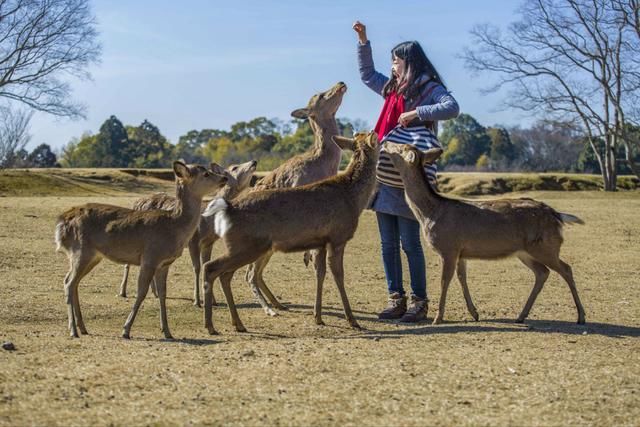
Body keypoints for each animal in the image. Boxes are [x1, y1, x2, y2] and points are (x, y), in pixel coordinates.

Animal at [55, 162, 228, 339]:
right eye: (206, 174)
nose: (224, 178)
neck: (174, 228)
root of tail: (61, 223)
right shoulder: (150, 257)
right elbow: (141, 292)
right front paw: (126, 330)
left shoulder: (164, 263)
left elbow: (163, 293)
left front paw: (167, 331)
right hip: (81, 250)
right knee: (68, 282)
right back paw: (73, 330)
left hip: (92, 256)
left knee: (73, 281)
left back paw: (83, 327)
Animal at [117, 160, 257, 306]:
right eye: (235, 167)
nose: (254, 161)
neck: (208, 223)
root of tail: (136, 203)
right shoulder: (193, 240)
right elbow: (197, 268)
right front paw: (197, 301)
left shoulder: (209, 243)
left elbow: (206, 264)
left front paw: (213, 300)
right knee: (127, 263)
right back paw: (122, 291)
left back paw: (155, 293)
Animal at [200, 131, 380, 333]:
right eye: (375, 136)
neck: (353, 199)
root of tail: (227, 208)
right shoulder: (338, 237)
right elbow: (338, 275)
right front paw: (352, 320)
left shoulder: (321, 241)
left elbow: (320, 273)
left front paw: (318, 317)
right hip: (246, 246)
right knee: (212, 267)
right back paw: (211, 325)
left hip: (245, 247)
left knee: (225, 274)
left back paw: (237, 323)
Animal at [241, 81, 348, 317]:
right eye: (319, 96)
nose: (341, 83)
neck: (322, 166)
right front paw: (307, 256)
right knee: (249, 273)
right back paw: (269, 309)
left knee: (256, 272)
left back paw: (279, 304)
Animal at [383, 142, 586, 325]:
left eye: (401, 147)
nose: (385, 142)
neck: (430, 214)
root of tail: (557, 215)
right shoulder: (461, 252)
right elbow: (462, 278)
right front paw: (474, 313)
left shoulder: (449, 247)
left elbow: (444, 281)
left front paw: (438, 318)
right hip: (525, 251)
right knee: (542, 272)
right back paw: (521, 316)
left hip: (545, 246)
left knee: (566, 269)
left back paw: (581, 317)